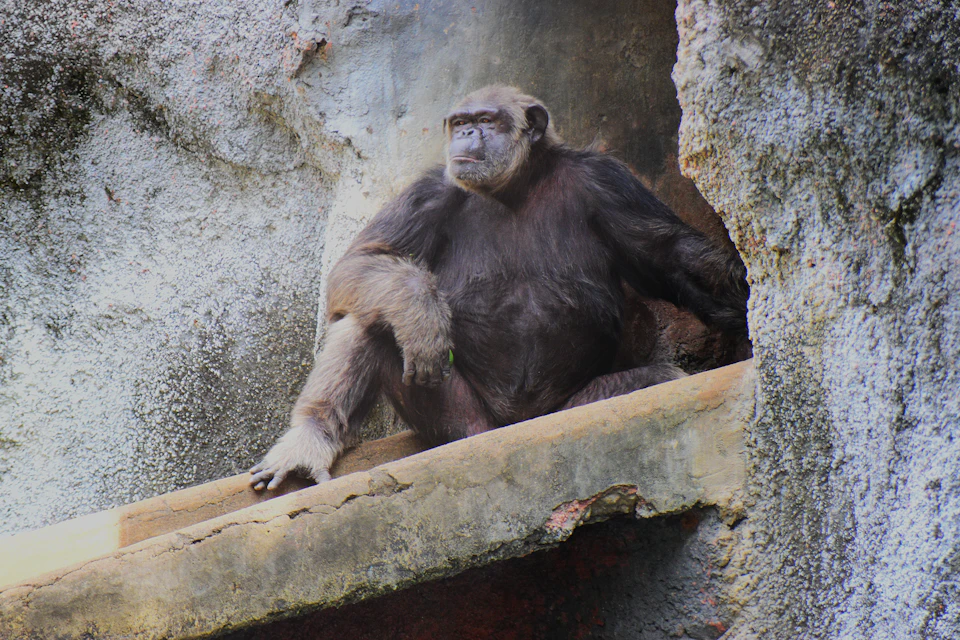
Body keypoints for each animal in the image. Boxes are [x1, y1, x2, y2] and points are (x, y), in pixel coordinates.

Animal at [250, 86, 748, 491]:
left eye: (487, 120)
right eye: (461, 122)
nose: (468, 134)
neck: (515, 186)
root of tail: (510, 428)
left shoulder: (610, 182)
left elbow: (669, 254)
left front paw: (737, 295)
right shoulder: (429, 191)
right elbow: (362, 260)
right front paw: (421, 311)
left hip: (567, 410)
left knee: (665, 378)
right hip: (464, 424)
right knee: (374, 317)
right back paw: (308, 440)